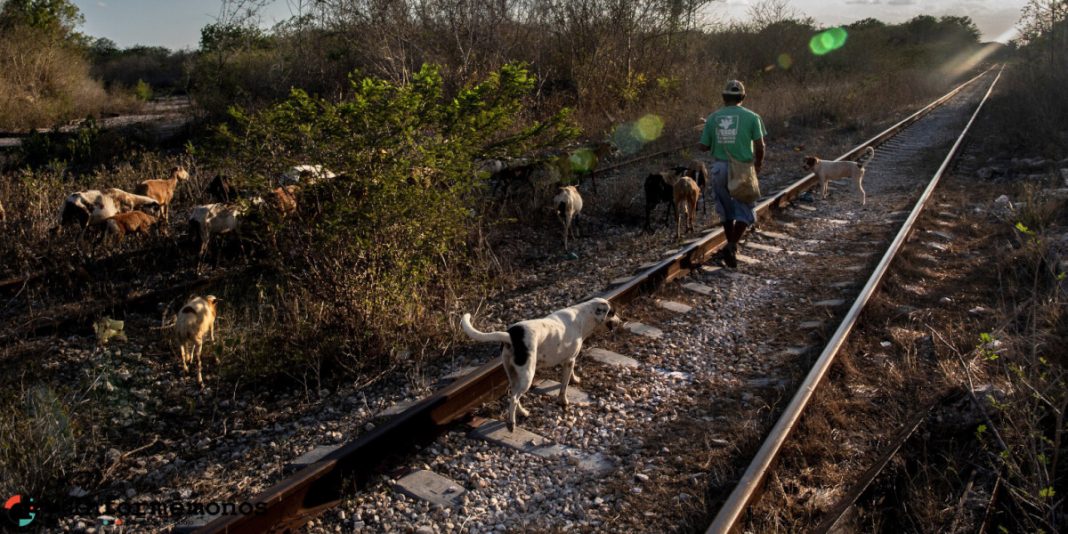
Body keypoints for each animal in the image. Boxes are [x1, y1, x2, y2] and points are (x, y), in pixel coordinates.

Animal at [459, 299, 619, 431]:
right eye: (612, 313)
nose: (621, 320)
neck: (583, 317)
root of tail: (511, 335)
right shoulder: (569, 361)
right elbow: (564, 386)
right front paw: (563, 401)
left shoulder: (570, 360)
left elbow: (571, 375)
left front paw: (575, 379)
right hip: (528, 375)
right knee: (514, 398)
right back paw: (511, 423)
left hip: (513, 374)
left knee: (512, 393)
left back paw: (523, 412)